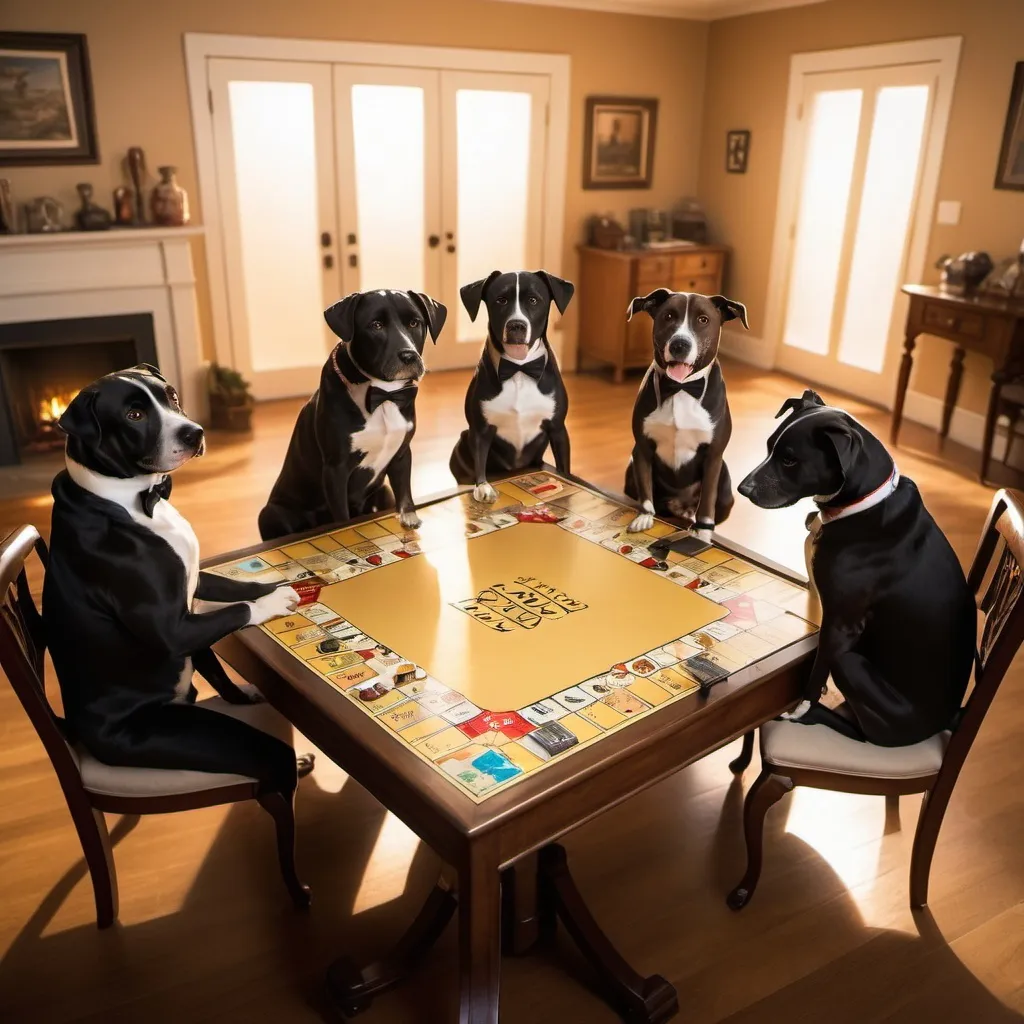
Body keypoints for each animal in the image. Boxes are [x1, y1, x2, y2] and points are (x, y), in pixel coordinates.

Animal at [45, 366, 307, 790]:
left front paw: (281, 585)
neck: (137, 502)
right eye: (134, 415)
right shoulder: (173, 629)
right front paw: (272, 602)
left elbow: (237, 588)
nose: (194, 432)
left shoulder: (193, 582)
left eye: (172, 397)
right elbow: (237, 609)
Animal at [258, 288, 446, 540]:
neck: (383, 395)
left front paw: (410, 519)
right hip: (270, 513)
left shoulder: (401, 454)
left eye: (415, 322)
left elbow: (405, 492)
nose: (408, 356)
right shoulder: (335, 469)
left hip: (383, 491)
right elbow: (342, 517)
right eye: (376, 325)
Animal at [450, 268, 577, 499]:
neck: (519, 368)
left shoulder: (557, 428)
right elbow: (480, 463)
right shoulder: (480, 430)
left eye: (534, 300)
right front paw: (483, 487)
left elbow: (564, 468)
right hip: (463, 440)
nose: (516, 325)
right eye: (501, 300)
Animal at [618, 288, 749, 540]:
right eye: (668, 316)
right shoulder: (642, 448)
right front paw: (644, 517)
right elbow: (645, 488)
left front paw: (702, 533)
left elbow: (707, 501)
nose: (680, 345)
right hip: (629, 470)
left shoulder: (713, 457)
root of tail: (680, 507)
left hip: (726, 488)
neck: (681, 387)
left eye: (703, 320)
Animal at [737, 389, 974, 745]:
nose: (743, 489)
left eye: (790, 460)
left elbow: (815, 675)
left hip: (851, 664)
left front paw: (801, 709)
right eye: (768, 447)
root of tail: (943, 723)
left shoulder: (839, 626)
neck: (863, 505)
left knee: (865, 733)